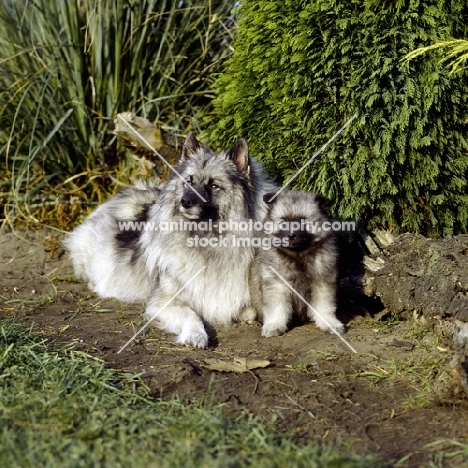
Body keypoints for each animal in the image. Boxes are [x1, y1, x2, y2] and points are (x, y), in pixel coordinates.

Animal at [65, 132, 274, 348]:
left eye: (213, 185)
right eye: (188, 182)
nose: (185, 201)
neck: (207, 240)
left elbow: (248, 311)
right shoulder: (166, 300)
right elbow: (191, 315)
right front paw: (195, 335)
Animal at [256, 191, 344, 340]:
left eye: (303, 221)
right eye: (283, 222)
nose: (291, 235)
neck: (298, 255)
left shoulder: (323, 281)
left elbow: (325, 305)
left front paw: (330, 323)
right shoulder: (276, 284)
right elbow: (276, 307)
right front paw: (274, 325)